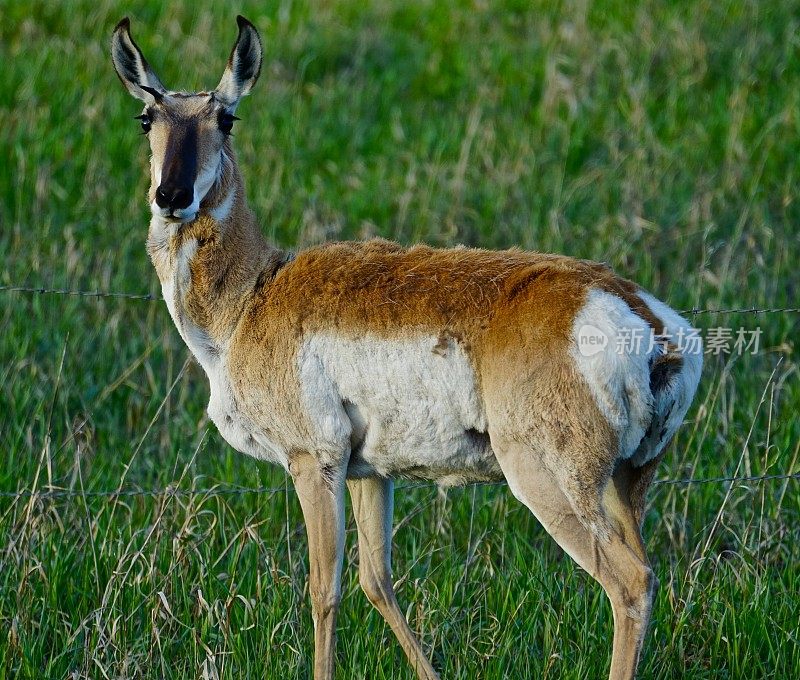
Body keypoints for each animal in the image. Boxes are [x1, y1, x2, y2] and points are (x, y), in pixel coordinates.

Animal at [111, 15, 700, 680]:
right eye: (147, 118)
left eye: (227, 118)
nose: (171, 195)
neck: (252, 296)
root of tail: (643, 317)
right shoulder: (370, 472)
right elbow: (377, 581)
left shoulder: (314, 461)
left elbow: (324, 589)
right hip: (628, 485)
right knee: (645, 570)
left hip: (550, 481)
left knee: (630, 582)